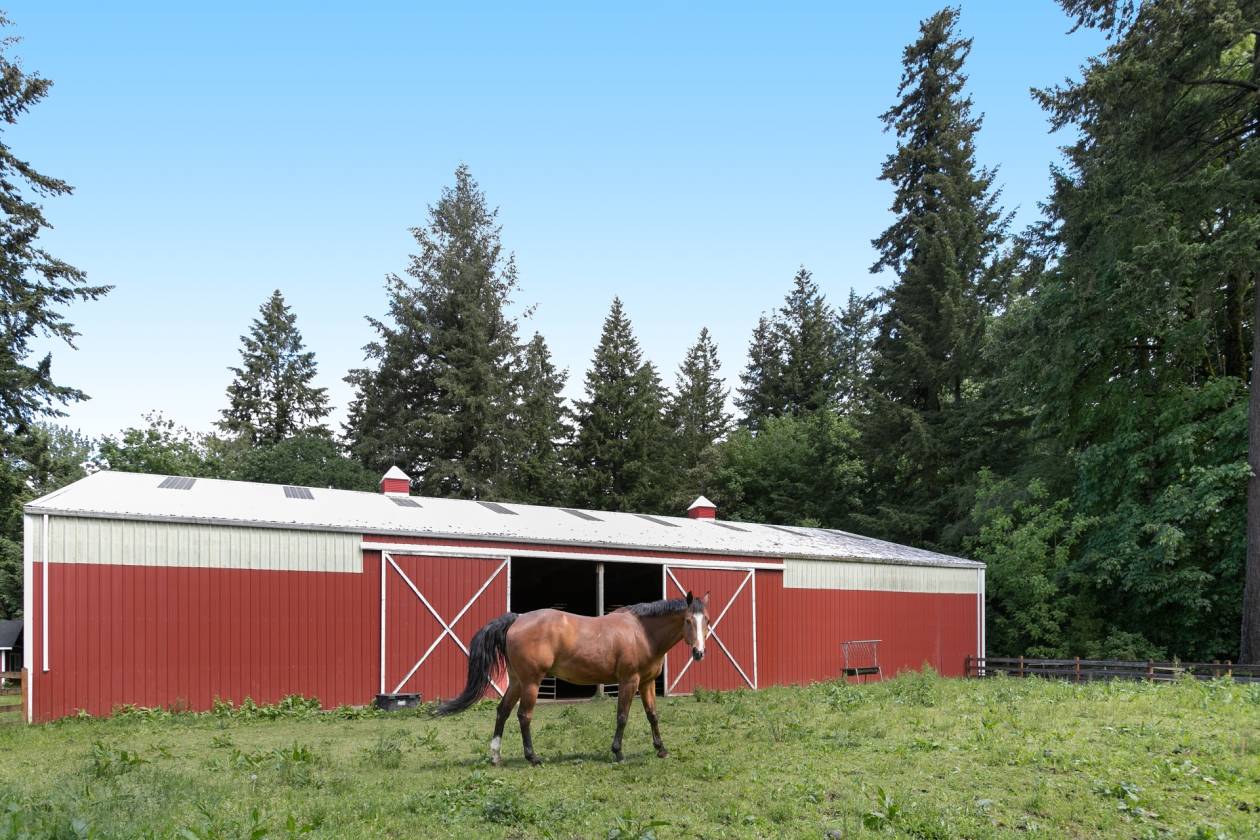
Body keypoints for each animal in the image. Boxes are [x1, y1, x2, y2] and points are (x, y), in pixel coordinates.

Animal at [435, 591, 711, 766]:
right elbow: (622, 717)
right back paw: (533, 757)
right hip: (531, 683)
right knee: (524, 716)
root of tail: (517, 618)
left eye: (706, 620)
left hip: (517, 682)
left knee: (502, 712)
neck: (641, 633)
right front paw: (618, 753)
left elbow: (652, 715)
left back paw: (495, 756)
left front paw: (661, 749)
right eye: (688, 620)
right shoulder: (629, 681)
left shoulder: (647, 683)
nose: (699, 653)